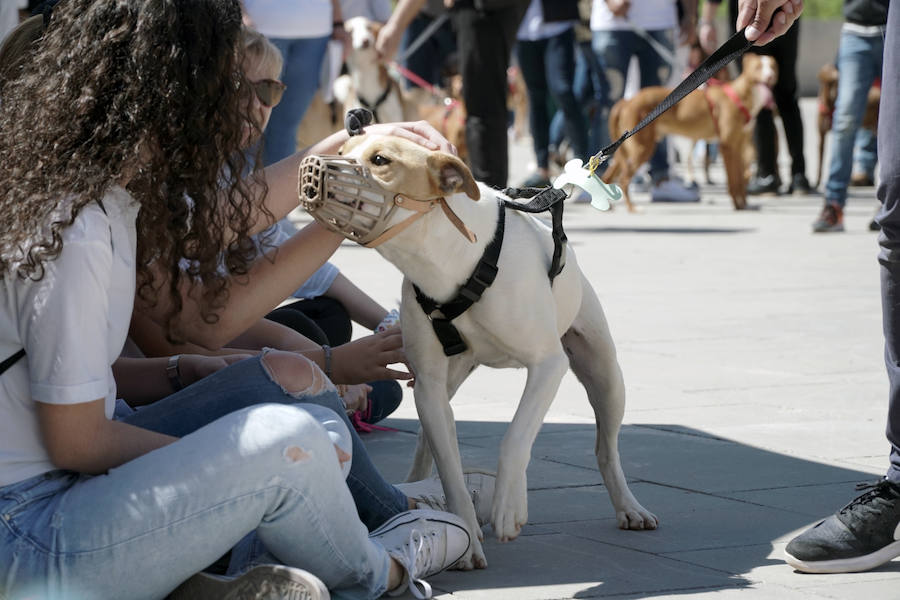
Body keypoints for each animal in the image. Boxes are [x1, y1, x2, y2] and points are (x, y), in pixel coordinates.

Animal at [334, 134, 656, 568]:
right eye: (341, 148)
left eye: (381, 160)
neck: (450, 260)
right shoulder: (429, 383)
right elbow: (451, 468)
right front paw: (467, 536)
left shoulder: (548, 365)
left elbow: (516, 437)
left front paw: (508, 508)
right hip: (446, 384)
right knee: (427, 441)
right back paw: (418, 482)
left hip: (605, 373)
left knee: (606, 448)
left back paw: (629, 507)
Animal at [600, 54, 776, 212]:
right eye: (758, 67)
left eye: (773, 67)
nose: (770, 77)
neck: (741, 95)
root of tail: (628, 101)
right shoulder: (727, 146)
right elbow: (733, 181)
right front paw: (738, 206)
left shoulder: (739, 145)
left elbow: (741, 178)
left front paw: (744, 204)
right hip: (642, 148)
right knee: (624, 179)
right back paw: (632, 208)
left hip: (623, 150)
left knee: (608, 176)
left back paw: (608, 207)